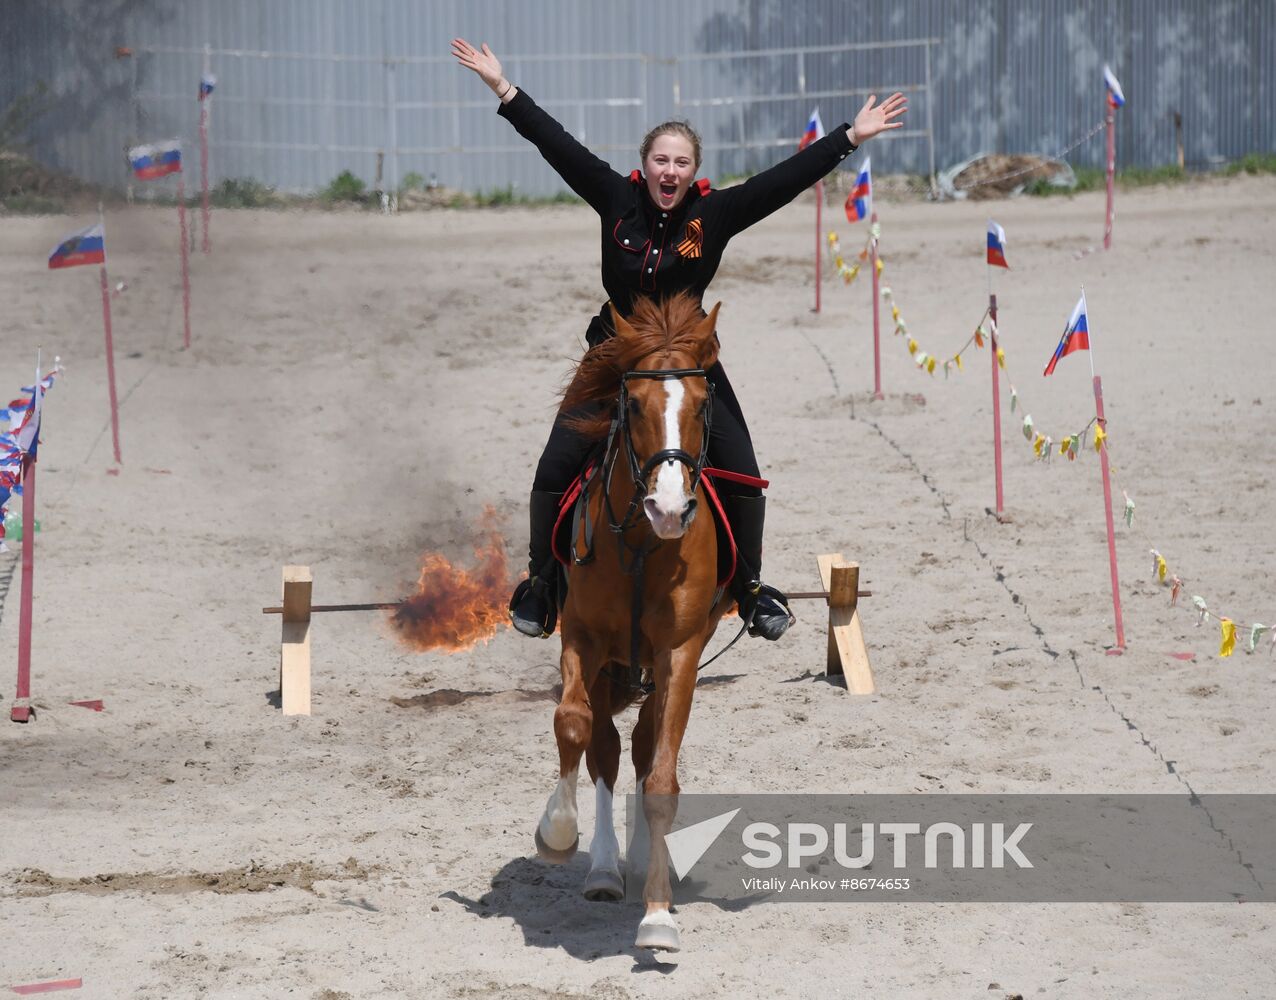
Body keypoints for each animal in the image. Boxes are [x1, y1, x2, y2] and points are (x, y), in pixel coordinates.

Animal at [533, 290, 734, 954]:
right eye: (635, 403)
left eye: (702, 403)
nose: (669, 508)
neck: (645, 544)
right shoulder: (584, 639)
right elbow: (574, 726)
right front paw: (558, 832)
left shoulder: (681, 653)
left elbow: (662, 778)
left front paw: (659, 917)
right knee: (605, 747)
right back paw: (601, 868)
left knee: (644, 750)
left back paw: (648, 860)